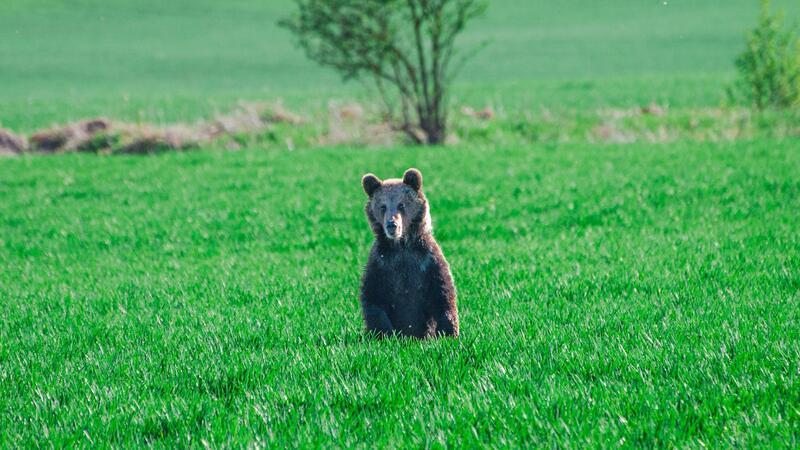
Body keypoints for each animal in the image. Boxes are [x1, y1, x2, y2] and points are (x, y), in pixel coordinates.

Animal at [360, 169, 460, 338]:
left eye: (401, 204)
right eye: (382, 206)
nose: (392, 225)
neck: (402, 245)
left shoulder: (427, 260)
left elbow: (443, 292)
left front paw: (448, 332)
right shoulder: (381, 263)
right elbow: (373, 297)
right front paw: (384, 333)